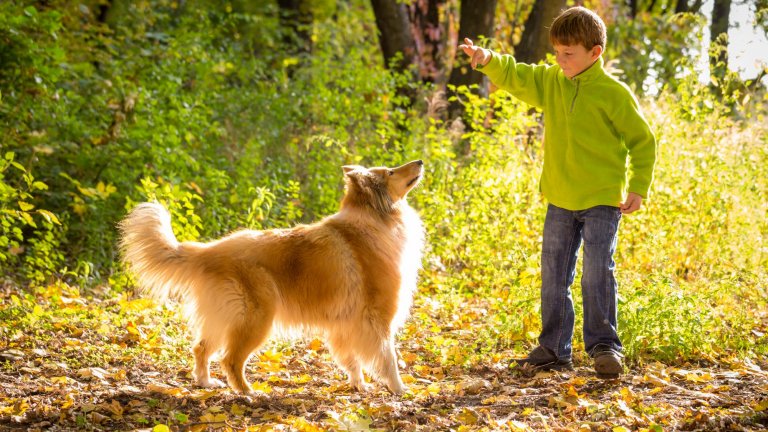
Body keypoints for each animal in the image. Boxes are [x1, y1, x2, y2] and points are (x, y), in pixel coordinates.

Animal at [118, 159, 426, 394]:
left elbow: (352, 359)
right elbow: (388, 357)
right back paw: (249, 393)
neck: (372, 219)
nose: (420, 161)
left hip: (222, 316)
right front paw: (400, 389)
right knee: (230, 359)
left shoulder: (344, 324)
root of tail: (210, 250)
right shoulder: (378, 318)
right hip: (256, 318)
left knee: (201, 348)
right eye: (390, 172)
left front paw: (359, 385)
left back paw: (206, 383)